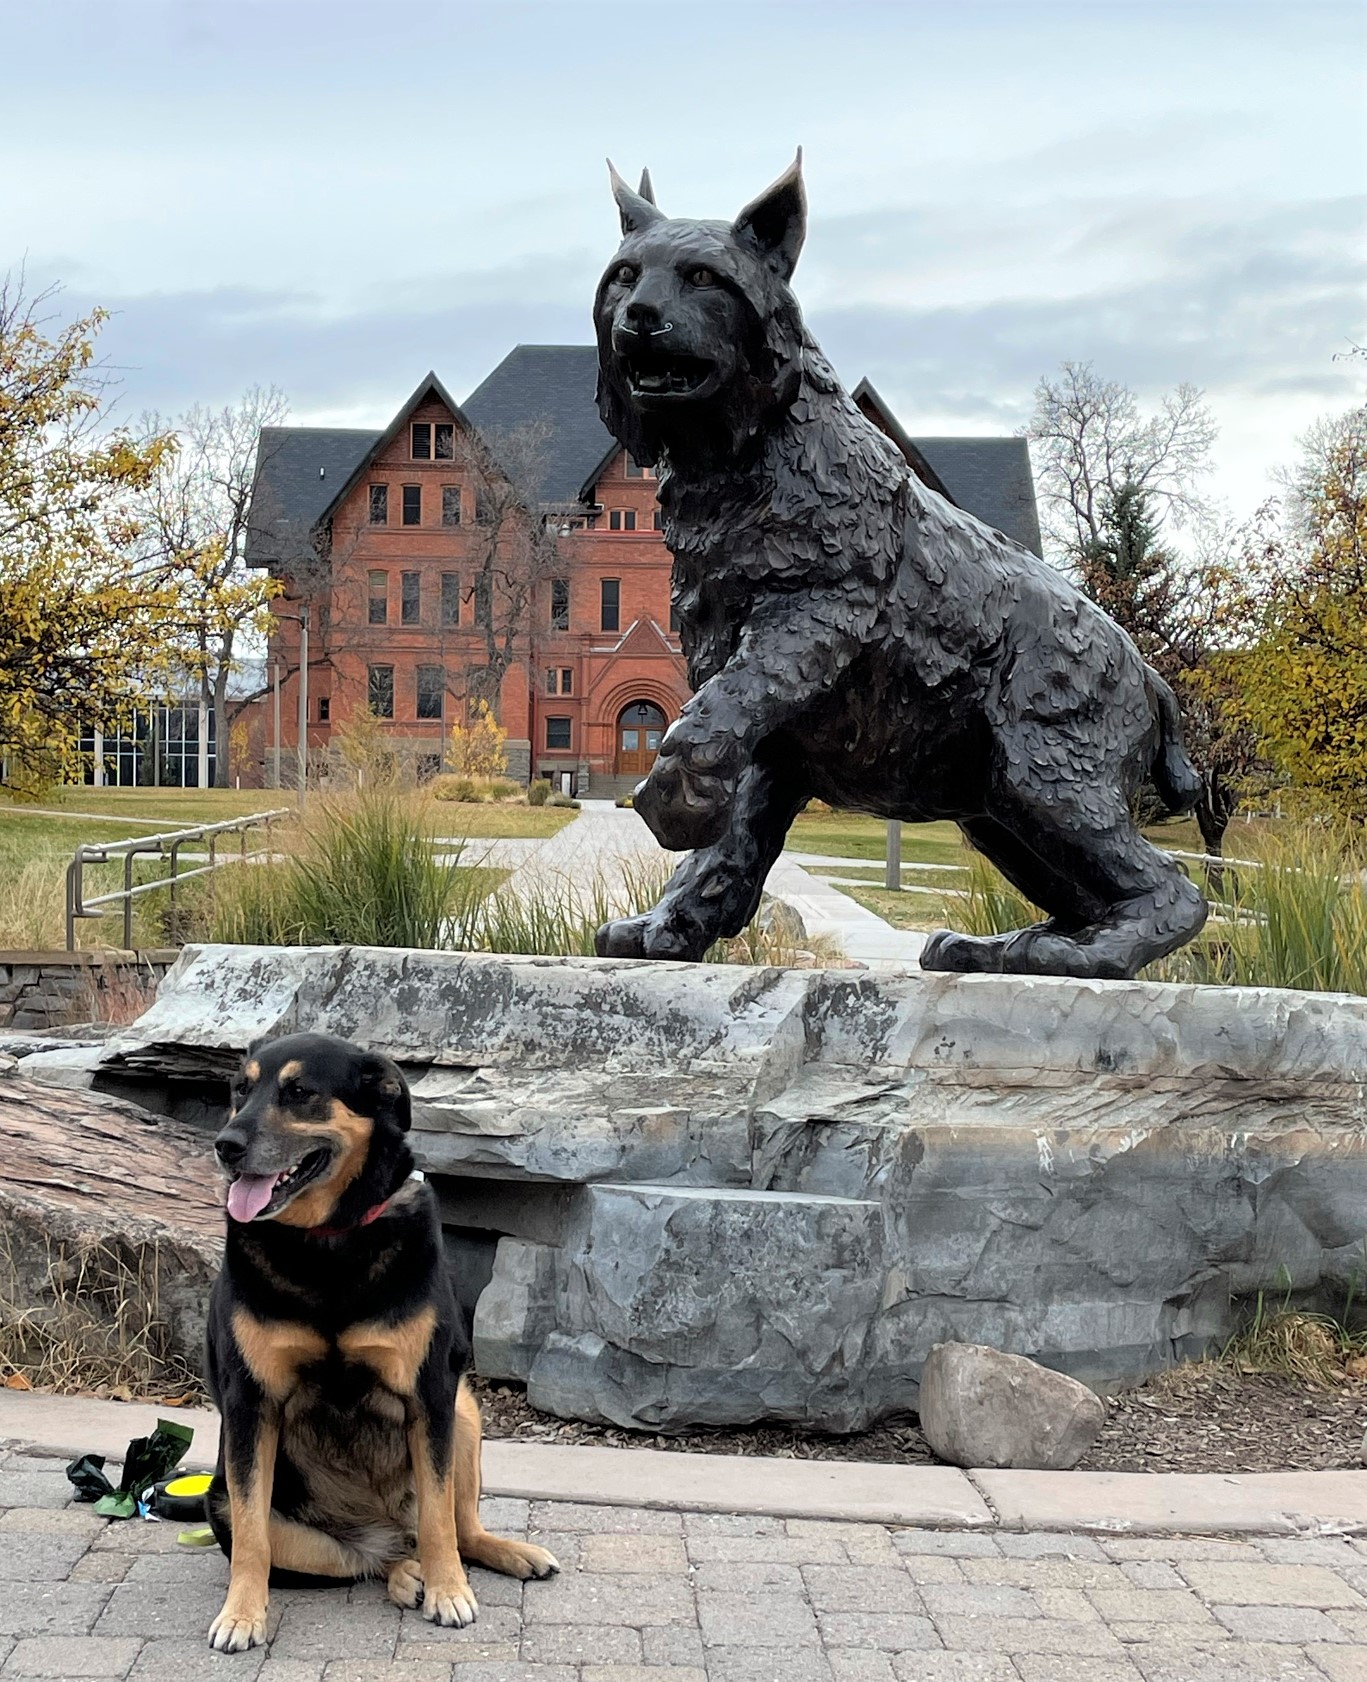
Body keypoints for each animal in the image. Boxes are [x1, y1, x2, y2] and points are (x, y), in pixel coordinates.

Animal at [202, 1029, 554, 1648]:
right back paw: (405, 1573)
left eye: (300, 1092)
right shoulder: (250, 1405)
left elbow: (439, 1519)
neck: (326, 1244)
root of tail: (385, 1527)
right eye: (240, 1090)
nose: (226, 1146)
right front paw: (242, 1614)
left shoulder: (430, 1395)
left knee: (457, 1529)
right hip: (229, 1503)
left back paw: (495, 1555)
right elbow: (251, 1537)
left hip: (465, 1413)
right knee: (364, 1560)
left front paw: (449, 1591)